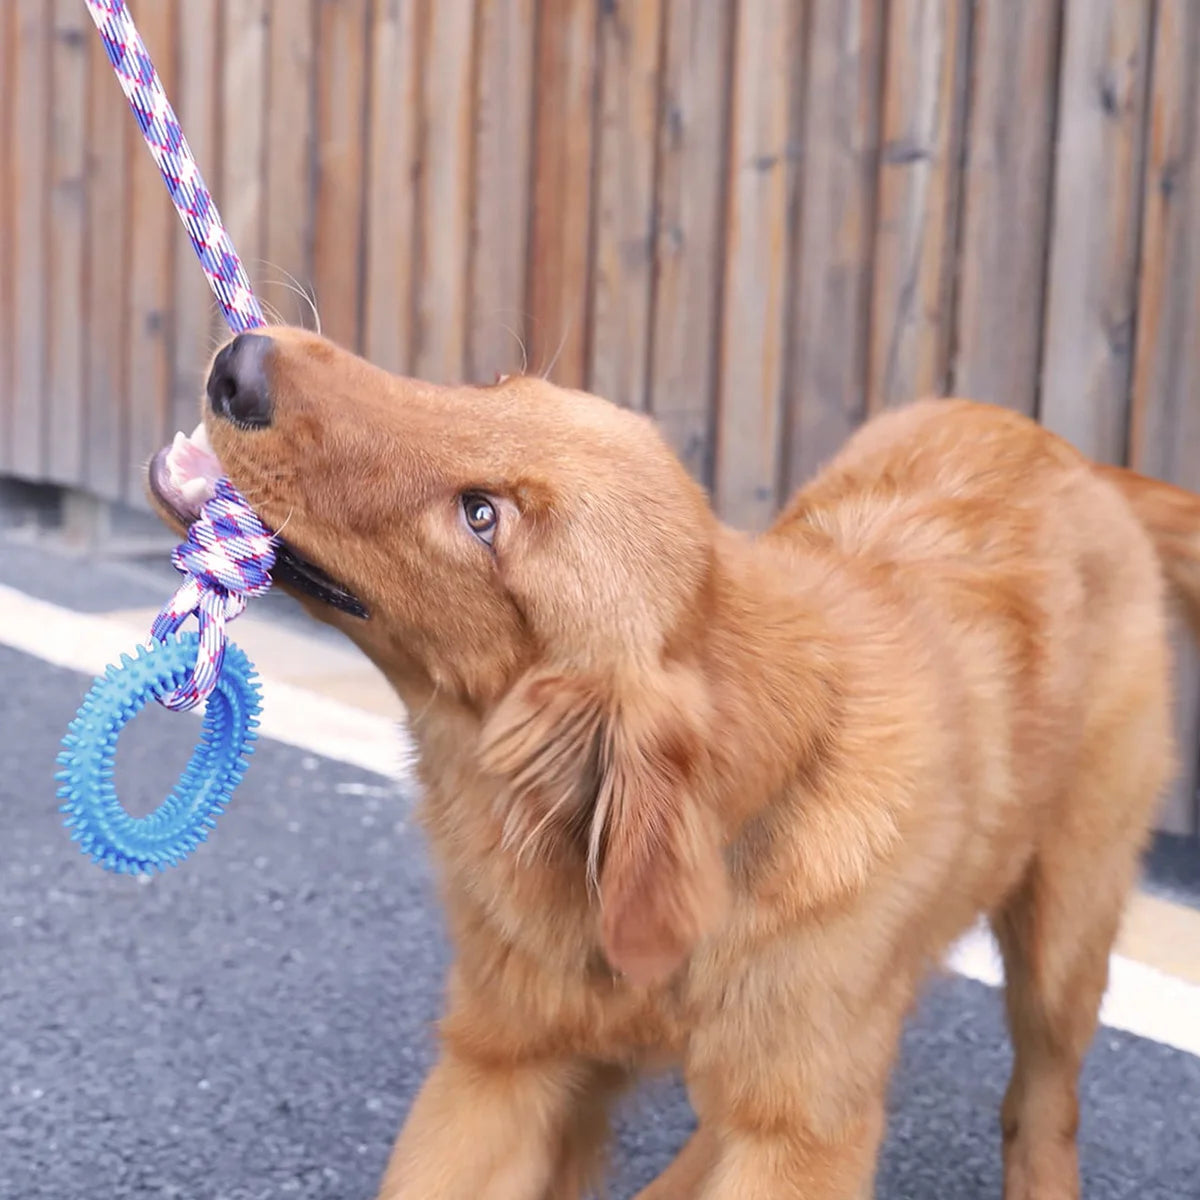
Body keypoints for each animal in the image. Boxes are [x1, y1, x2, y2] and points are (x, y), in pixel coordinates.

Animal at [150, 324, 1200, 1195]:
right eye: (493, 388)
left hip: (1063, 934)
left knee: (1044, 1102)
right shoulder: (498, 1067)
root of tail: (1072, 456)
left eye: (482, 518)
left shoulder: (802, 1138)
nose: (243, 361)